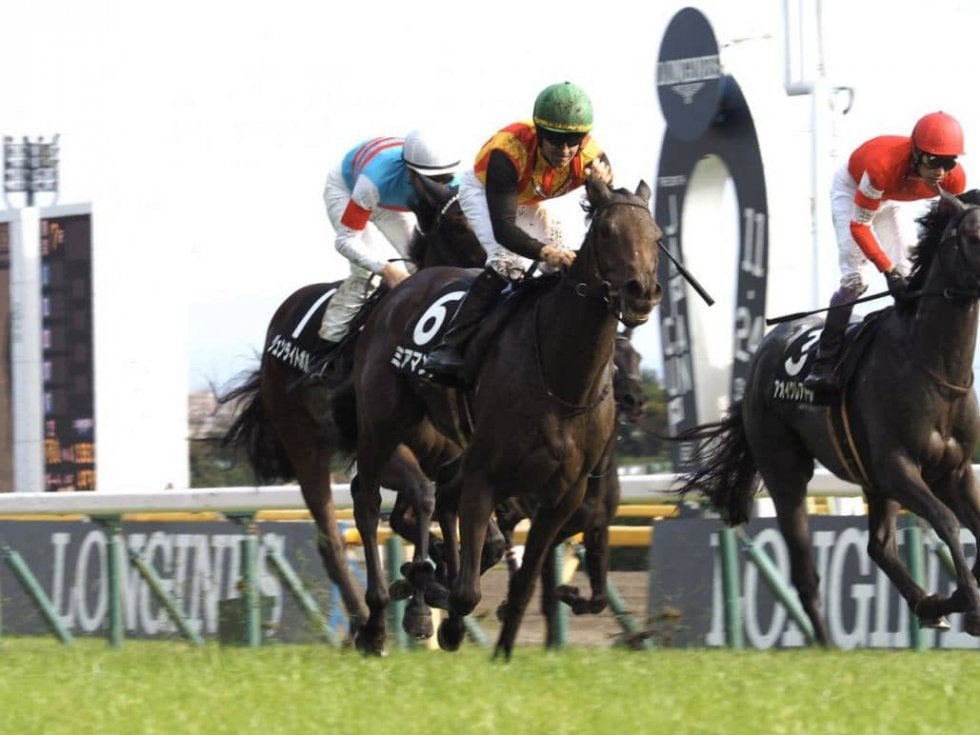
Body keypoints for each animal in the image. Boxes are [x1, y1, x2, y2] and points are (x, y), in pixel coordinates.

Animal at [220, 176, 486, 648]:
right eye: (457, 222)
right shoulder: (379, 443)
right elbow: (421, 497)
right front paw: (418, 599)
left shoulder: (448, 450)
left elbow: (435, 512)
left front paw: (431, 577)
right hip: (305, 444)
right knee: (329, 536)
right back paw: (363, 623)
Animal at [493, 327, 647, 646]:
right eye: (613, 360)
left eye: (638, 358)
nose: (636, 401)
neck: (593, 476)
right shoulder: (548, 524)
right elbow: (546, 593)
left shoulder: (597, 527)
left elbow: (598, 598)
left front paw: (574, 597)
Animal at [674, 189, 980, 645]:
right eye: (976, 234)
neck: (932, 365)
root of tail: (762, 351)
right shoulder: (897, 466)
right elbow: (945, 521)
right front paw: (972, 604)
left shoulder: (955, 471)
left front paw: (956, 598)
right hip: (786, 472)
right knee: (806, 572)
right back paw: (826, 641)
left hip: (870, 482)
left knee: (879, 546)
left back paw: (928, 604)